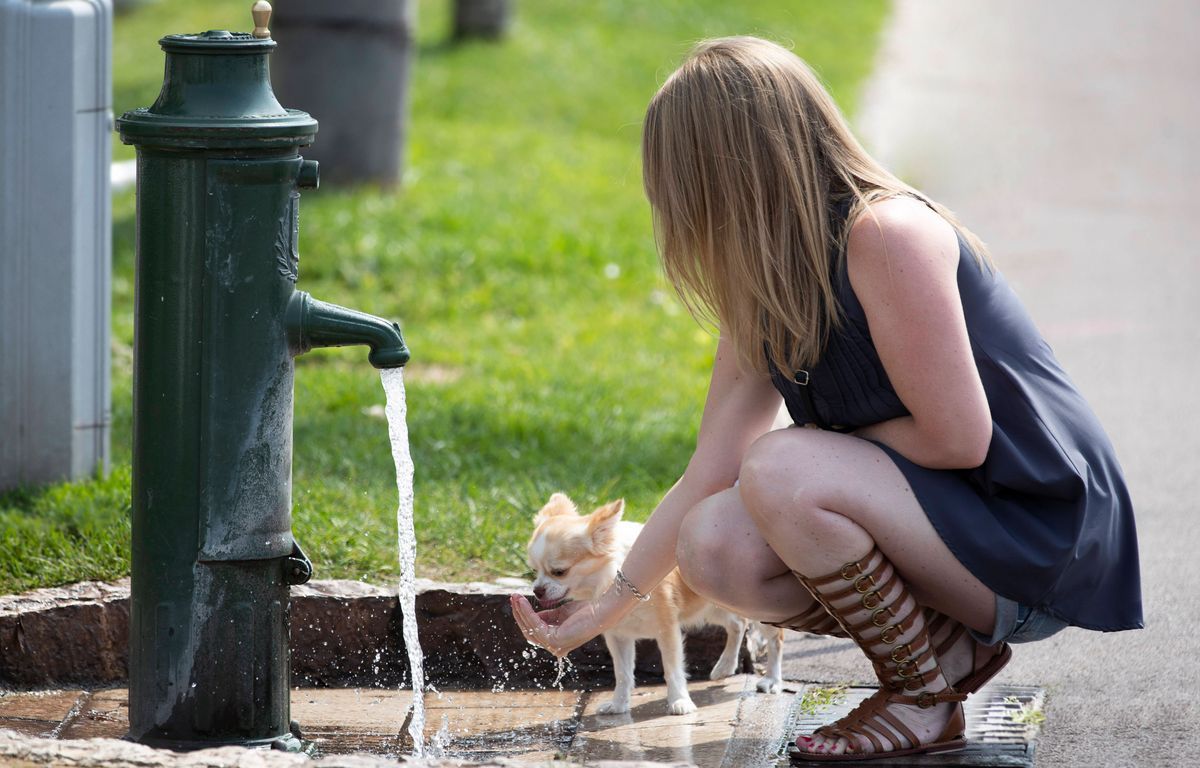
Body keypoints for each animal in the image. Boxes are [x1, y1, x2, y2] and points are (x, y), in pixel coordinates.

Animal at [525, 492, 787, 715]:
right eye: (534, 571)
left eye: (559, 572)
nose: (537, 590)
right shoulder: (618, 635)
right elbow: (623, 673)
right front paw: (618, 705)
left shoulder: (667, 629)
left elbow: (672, 669)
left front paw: (680, 701)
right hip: (713, 607)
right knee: (737, 623)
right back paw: (725, 665)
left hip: (755, 607)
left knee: (775, 639)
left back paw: (772, 680)